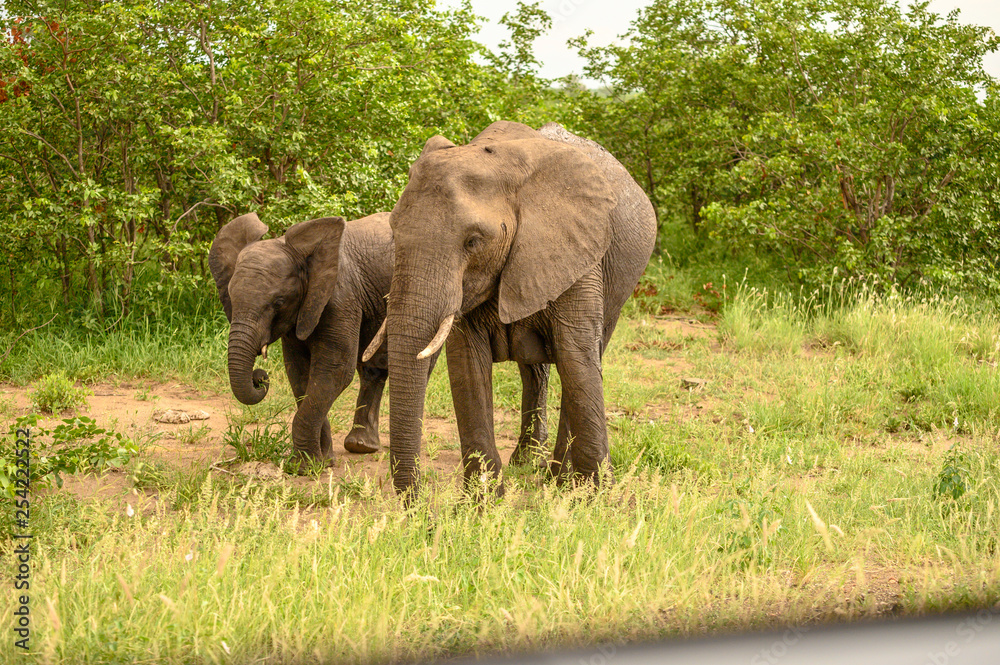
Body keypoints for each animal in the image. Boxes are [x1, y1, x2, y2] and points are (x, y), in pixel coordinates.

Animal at [213, 210, 556, 470]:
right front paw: (320, 460)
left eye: (279, 301)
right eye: (230, 297)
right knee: (373, 367)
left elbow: (334, 370)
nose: (259, 377)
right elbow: (299, 373)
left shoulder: (340, 297)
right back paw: (360, 446)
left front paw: (307, 467)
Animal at [378, 120, 660, 498]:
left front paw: (596, 497)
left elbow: (577, 360)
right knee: (535, 370)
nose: (418, 502)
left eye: (473, 242)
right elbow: (467, 365)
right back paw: (528, 462)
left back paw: (558, 478)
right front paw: (483, 502)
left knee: (583, 359)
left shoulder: (577, 254)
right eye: (394, 231)